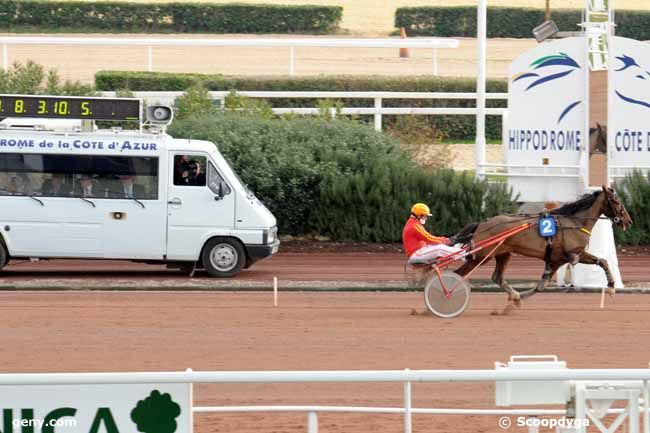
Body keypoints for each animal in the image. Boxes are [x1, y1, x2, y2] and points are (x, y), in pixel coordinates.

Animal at [454, 186, 632, 304]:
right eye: (616, 201)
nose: (628, 221)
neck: (574, 222)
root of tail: (481, 224)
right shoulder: (572, 255)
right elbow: (602, 262)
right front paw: (611, 286)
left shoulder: (559, 259)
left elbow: (602, 261)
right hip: (480, 257)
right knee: (458, 274)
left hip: (503, 254)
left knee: (497, 277)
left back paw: (513, 294)